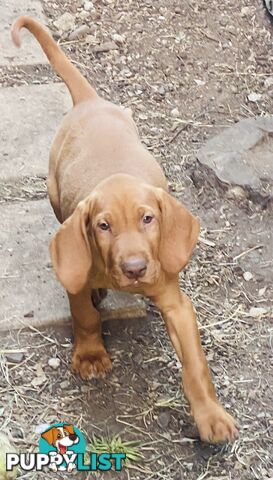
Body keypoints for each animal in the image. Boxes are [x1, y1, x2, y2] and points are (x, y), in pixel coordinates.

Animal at [11, 16, 236, 444]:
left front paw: (211, 416)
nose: (134, 269)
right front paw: (91, 355)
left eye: (148, 219)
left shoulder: (176, 303)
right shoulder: (76, 274)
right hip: (52, 191)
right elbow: (83, 314)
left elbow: (195, 364)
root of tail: (89, 101)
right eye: (103, 226)